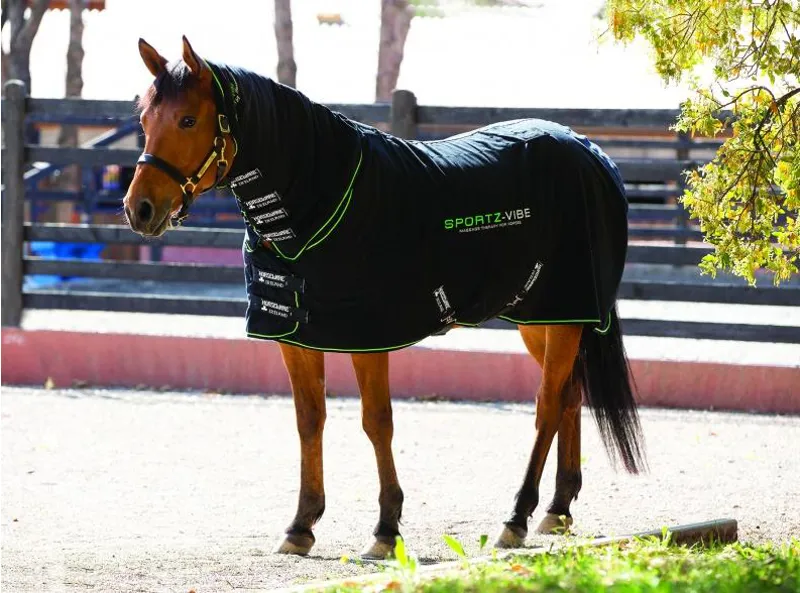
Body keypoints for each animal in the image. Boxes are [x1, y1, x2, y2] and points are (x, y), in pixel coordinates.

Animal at [123, 36, 646, 559]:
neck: (320, 201)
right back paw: (557, 509)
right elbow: (309, 420)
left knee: (547, 403)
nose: (139, 209)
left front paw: (386, 528)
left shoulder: (368, 338)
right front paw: (301, 525)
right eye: (144, 119)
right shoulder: (296, 337)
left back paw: (517, 517)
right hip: (545, 316)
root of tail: (590, 152)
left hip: (563, 312)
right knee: (569, 395)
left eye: (188, 120)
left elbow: (377, 422)